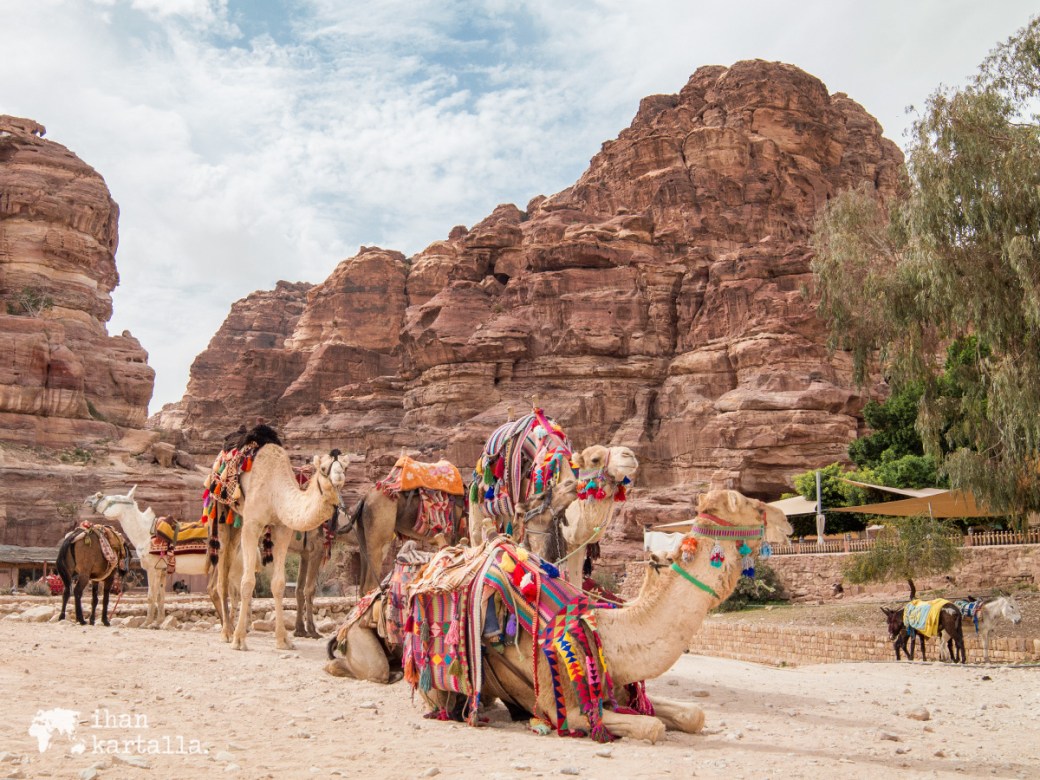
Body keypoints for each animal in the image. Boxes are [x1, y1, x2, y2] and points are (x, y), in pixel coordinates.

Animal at [230, 443, 346, 651]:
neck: (275, 490)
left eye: (345, 466)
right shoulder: (252, 524)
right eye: (324, 468)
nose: (339, 475)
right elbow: (249, 582)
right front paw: (239, 639)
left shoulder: (287, 534)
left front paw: (286, 638)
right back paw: (228, 631)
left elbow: (284, 585)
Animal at [330, 489, 792, 743]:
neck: (607, 634)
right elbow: (652, 729)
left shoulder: (618, 687)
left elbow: (692, 715)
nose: (786, 519)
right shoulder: (565, 709)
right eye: (748, 504)